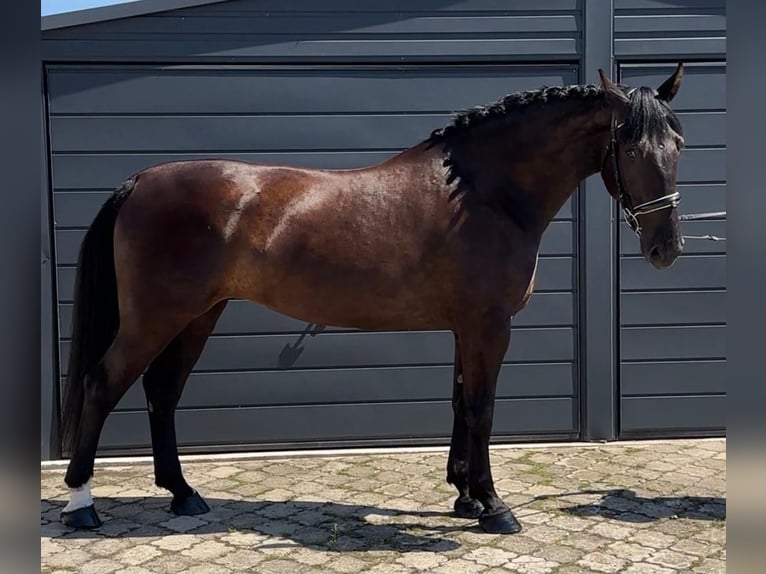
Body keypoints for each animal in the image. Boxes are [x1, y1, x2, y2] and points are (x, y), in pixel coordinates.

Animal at [57, 64, 688, 536]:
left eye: (678, 144)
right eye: (629, 147)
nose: (666, 248)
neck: (484, 192)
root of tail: (142, 180)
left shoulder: (464, 327)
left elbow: (459, 403)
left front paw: (465, 497)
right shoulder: (489, 325)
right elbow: (481, 409)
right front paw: (494, 507)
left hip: (197, 316)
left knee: (162, 393)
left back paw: (184, 494)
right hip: (157, 317)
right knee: (103, 385)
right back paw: (81, 505)